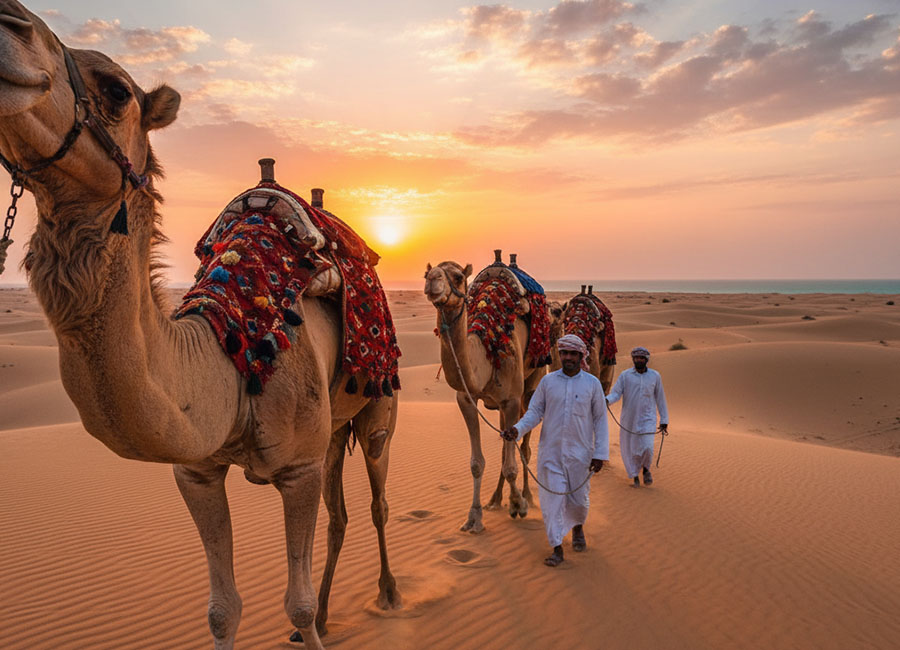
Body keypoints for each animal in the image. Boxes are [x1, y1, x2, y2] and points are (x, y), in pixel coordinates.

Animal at [0, 3, 400, 648]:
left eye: (117, 91)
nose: (9, 21)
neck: (237, 353)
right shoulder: (196, 472)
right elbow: (221, 607)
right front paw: (292, 619)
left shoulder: (298, 469)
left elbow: (295, 603)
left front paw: (308, 618)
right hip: (334, 426)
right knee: (341, 514)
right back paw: (335, 611)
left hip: (378, 408)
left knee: (378, 501)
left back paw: (387, 595)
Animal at [424, 258, 546, 533]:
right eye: (426, 274)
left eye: (458, 277)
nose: (432, 280)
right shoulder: (466, 399)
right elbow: (477, 463)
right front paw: (474, 517)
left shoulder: (511, 400)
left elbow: (511, 464)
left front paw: (519, 504)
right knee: (505, 445)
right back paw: (495, 500)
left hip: (532, 384)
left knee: (524, 446)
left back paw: (526, 495)